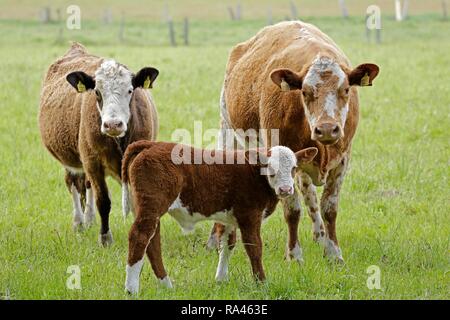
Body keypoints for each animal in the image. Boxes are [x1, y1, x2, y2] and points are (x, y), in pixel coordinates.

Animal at [38, 42, 159, 246]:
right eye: (97, 92)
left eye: (130, 90)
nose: (113, 124)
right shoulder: (93, 163)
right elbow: (103, 201)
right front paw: (105, 238)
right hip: (73, 162)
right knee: (73, 183)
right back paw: (79, 222)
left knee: (86, 185)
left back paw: (88, 219)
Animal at [119, 140, 316, 292]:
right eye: (270, 167)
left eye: (294, 168)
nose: (286, 189)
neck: (255, 173)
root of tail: (151, 144)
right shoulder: (249, 216)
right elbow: (254, 248)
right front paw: (262, 283)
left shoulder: (229, 219)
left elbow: (227, 245)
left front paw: (221, 279)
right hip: (151, 207)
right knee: (139, 237)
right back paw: (131, 289)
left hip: (148, 210)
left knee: (152, 243)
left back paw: (166, 285)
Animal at [208, 21, 380, 264]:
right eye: (305, 92)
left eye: (346, 89)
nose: (327, 129)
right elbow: (292, 210)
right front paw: (294, 255)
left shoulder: (342, 160)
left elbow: (329, 207)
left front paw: (333, 252)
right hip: (228, 131)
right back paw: (215, 239)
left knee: (309, 192)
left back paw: (319, 235)